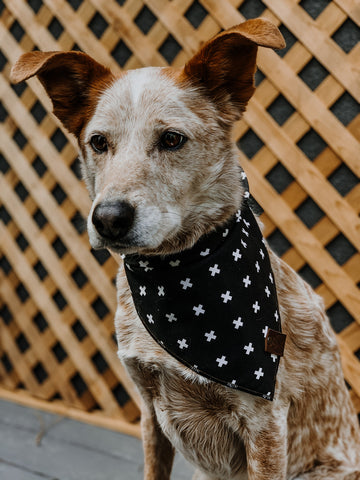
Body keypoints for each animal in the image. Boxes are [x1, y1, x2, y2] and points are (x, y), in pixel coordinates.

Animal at [11, 17, 360, 480]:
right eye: (98, 142)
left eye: (172, 139)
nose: (108, 218)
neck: (175, 271)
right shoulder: (148, 407)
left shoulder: (266, 424)